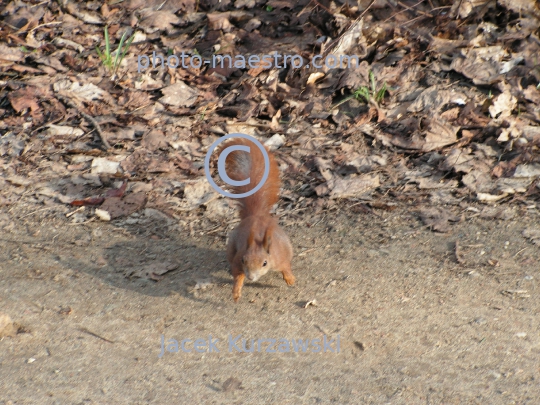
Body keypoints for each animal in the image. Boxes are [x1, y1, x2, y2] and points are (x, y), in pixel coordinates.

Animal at [217, 137, 296, 302]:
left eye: (264, 263)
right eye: (244, 260)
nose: (251, 277)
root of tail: (257, 214)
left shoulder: (280, 257)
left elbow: (285, 267)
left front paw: (290, 279)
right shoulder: (237, 260)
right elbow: (237, 275)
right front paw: (236, 292)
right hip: (231, 248)